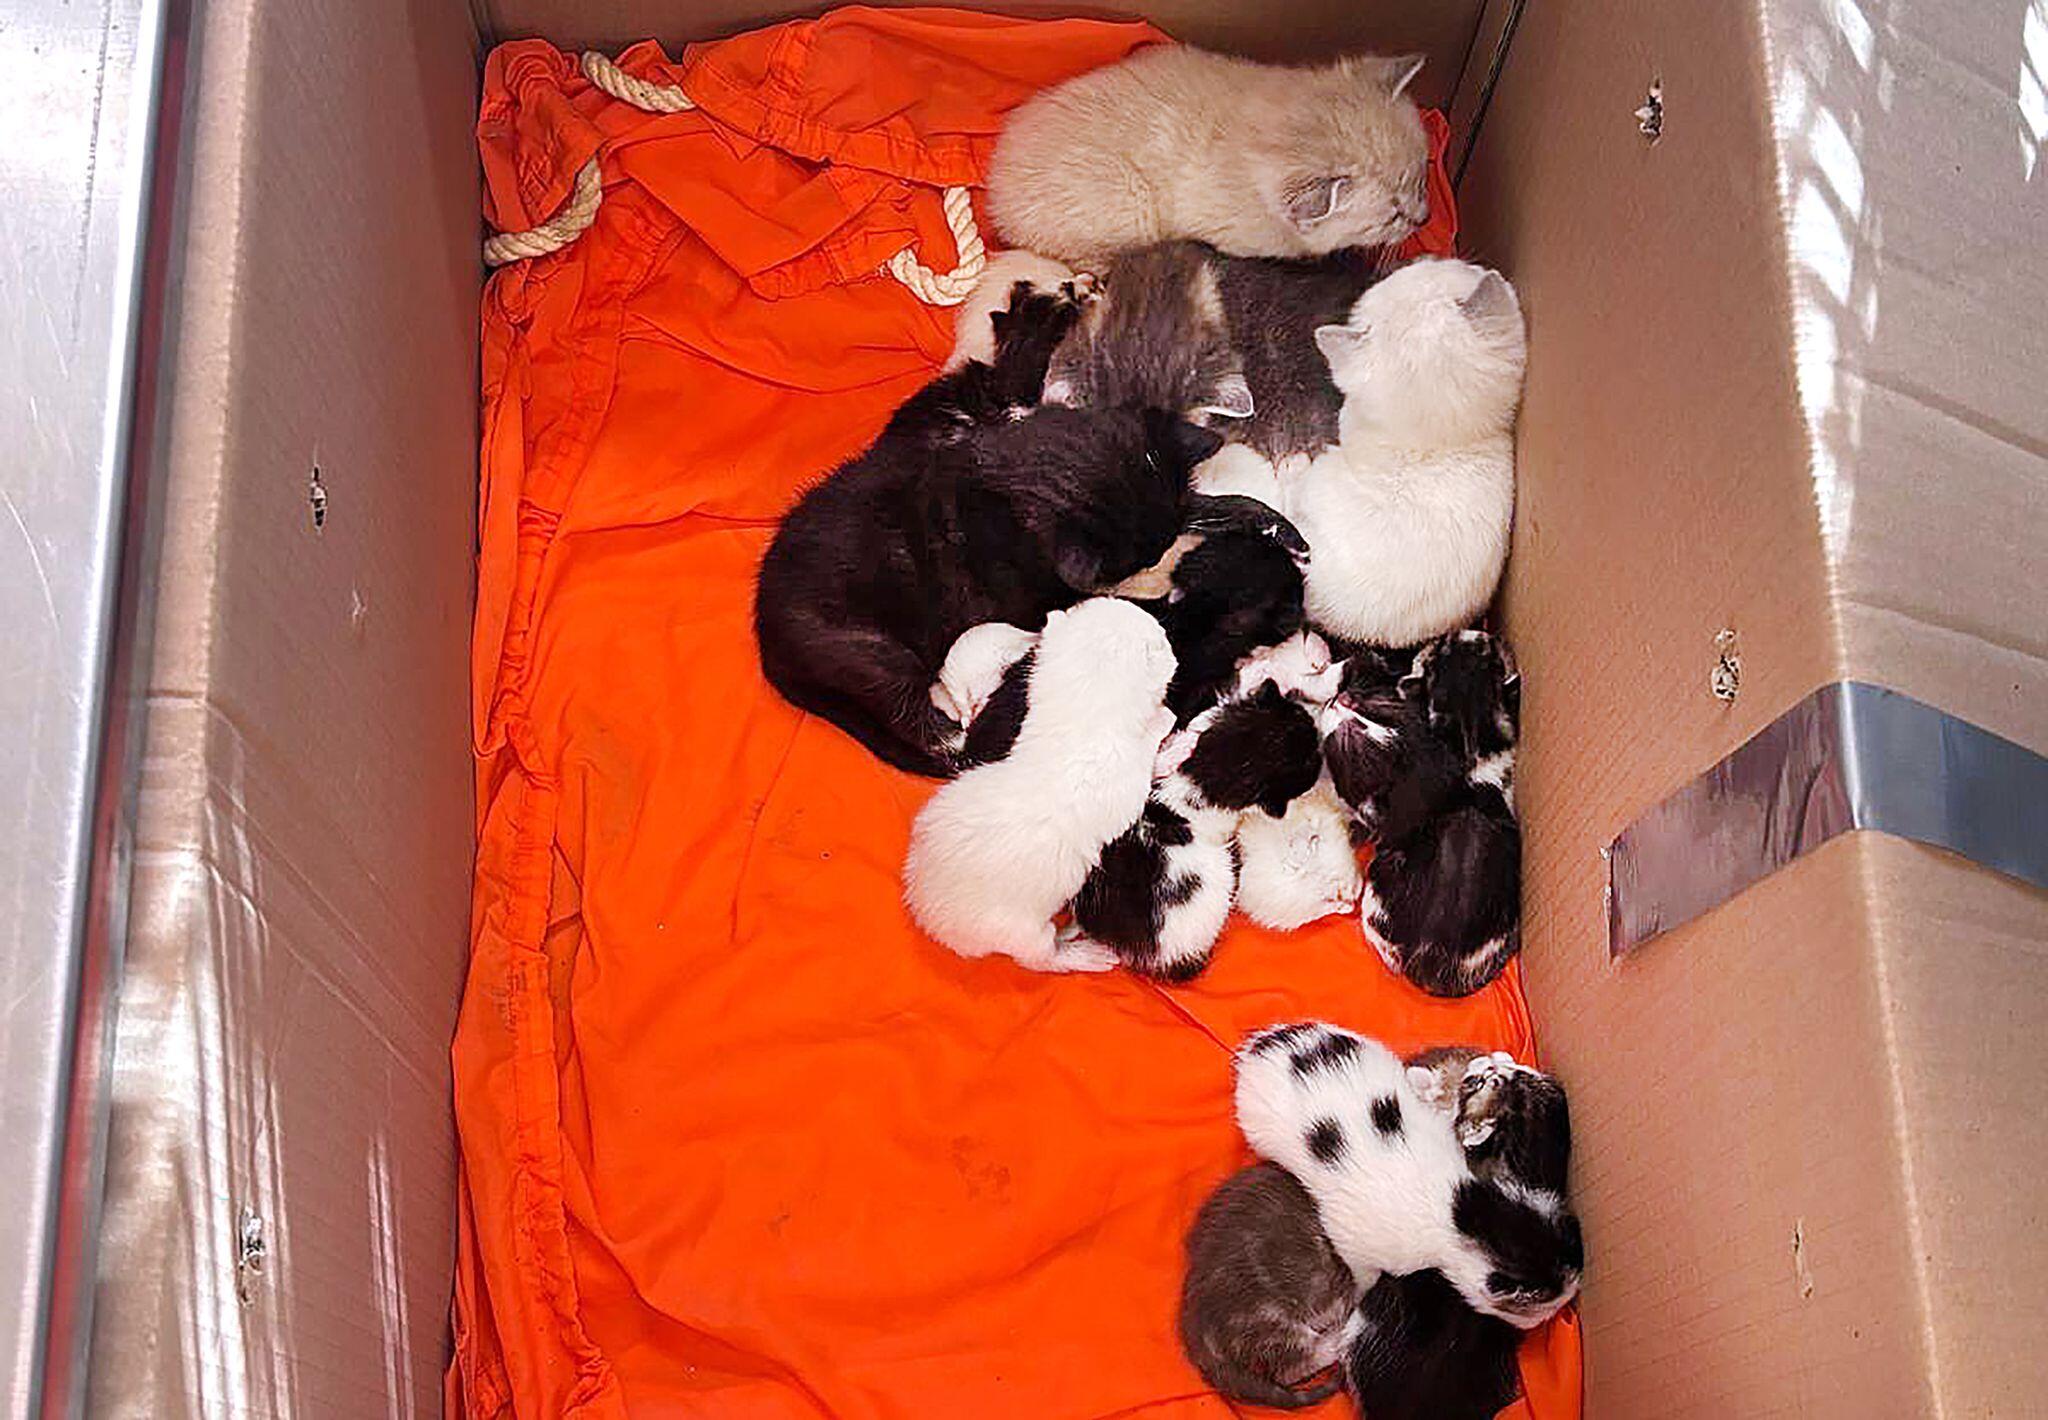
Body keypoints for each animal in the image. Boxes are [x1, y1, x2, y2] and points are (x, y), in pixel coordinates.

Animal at [902, 598, 1176, 973]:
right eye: (1157, 630)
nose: (1163, 627)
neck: (1078, 724)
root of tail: (927, 915)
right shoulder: (1125, 779)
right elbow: (1148, 760)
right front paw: (1165, 726)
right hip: (1023, 931)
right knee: (1042, 959)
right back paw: (1083, 953)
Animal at [1233, 1022, 1583, 1329]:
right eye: (1548, 1304)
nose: (1560, 1312)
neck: (1462, 1208)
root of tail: (1261, 1045)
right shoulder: (1355, 1246)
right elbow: (1364, 1277)